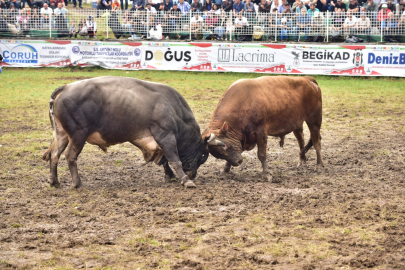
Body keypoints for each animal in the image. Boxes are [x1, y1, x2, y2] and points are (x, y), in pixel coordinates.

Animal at [41, 77, 208, 189]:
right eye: (202, 156)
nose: (193, 174)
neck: (173, 109)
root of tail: (65, 88)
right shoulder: (165, 135)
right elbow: (174, 159)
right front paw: (186, 180)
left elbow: (165, 160)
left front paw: (171, 176)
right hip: (78, 135)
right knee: (70, 156)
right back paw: (77, 183)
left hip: (63, 135)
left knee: (54, 155)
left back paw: (54, 181)